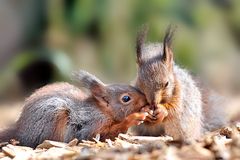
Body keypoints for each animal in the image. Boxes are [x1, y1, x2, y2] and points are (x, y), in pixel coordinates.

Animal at [0, 70, 147, 148]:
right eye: (126, 98)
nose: (145, 100)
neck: (101, 110)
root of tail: (20, 131)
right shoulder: (91, 124)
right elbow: (96, 135)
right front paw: (133, 118)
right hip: (53, 119)